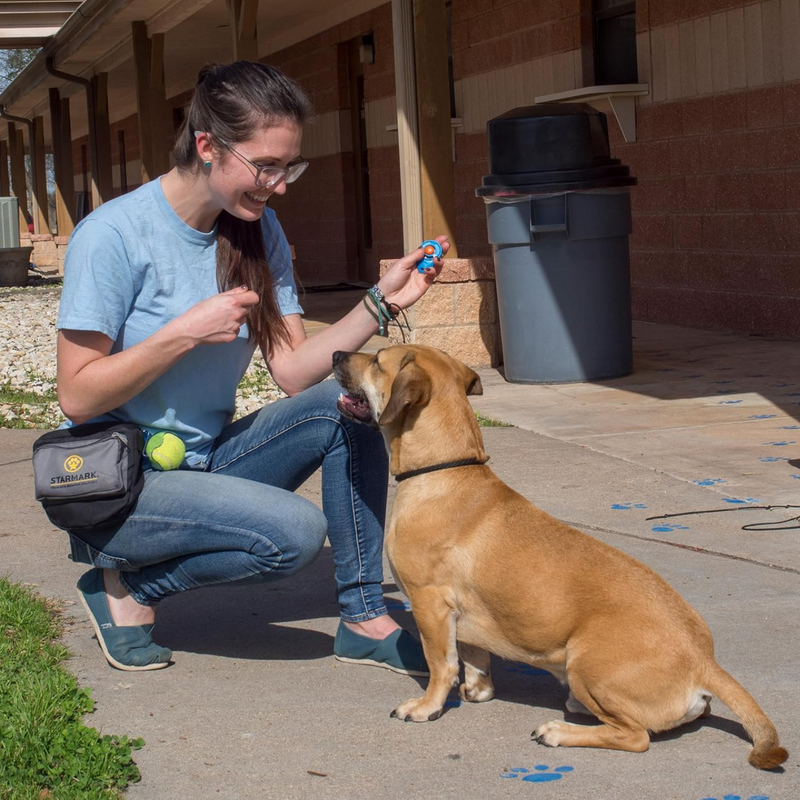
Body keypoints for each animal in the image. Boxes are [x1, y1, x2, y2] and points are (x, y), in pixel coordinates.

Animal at [332, 342, 788, 768]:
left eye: (377, 360)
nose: (335, 353)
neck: (445, 469)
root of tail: (703, 661)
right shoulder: (464, 616)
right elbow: (474, 658)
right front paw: (477, 690)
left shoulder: (430, 603)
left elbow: (441, 664)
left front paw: (427, 707)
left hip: (586, 665)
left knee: (635, 736)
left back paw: (558, 731)